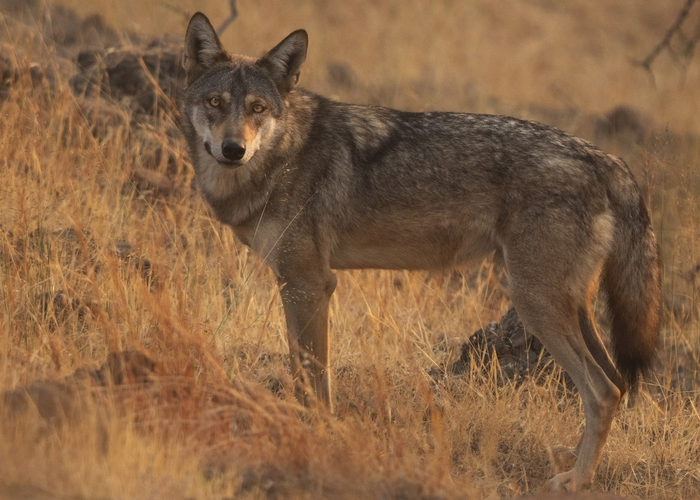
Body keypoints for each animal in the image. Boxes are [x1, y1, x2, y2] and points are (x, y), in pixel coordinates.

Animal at [179, 13, 661, 492]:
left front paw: (315, 433)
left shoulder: (309, 283)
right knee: (617, 382)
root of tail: (609, 160)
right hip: (568, 306)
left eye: (258, 109)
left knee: (603, 390)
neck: (284, 155)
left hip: (535, 302)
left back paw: (576, 480)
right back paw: (574, 459)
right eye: (216, 103)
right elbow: (304, 371)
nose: (233, 149)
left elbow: (314, 378)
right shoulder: (298, 283)